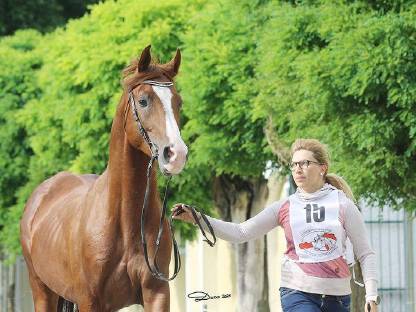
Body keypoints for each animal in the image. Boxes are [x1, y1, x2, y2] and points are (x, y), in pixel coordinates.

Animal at [19, 46, 187, 312]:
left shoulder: (157, 293)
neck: (125, 223)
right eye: (143, 101)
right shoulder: (90, 300)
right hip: (42, 291)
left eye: (178, 102)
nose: (176, 154)